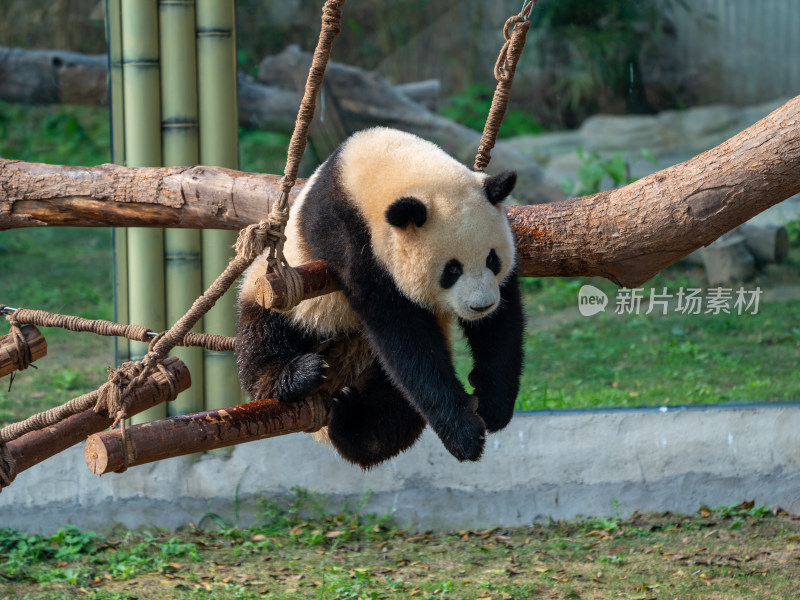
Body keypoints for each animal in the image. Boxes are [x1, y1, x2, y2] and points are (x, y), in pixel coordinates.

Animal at [236, 126, 524, 466]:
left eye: (492, 259)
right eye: (452, 269)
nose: (481, 306)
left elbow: (501, 324)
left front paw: (493, 404)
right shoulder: (351, 238)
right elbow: (403, 335)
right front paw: (465, 434)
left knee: (392, 406)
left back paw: (350, 421)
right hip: (277, 294)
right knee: (263, 336)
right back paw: (297, 376)